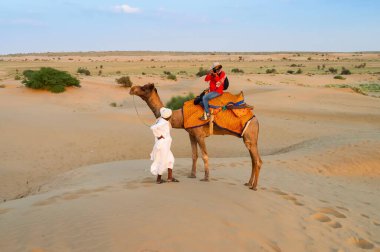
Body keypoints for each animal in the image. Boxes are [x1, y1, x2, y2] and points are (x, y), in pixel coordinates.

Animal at [129, 83, 262, 190]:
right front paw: (192, 175)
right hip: (249, 139)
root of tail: (255, 119)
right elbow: (194, 155)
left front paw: (206, 178)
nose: (132, 89)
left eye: (144, 88)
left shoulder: (199, 135)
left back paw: (254, 187)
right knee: (253, 160)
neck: (181, 116)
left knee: (257, 161)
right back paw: (248, 183)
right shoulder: (191, 134)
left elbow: (205, 156)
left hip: (250, 136)